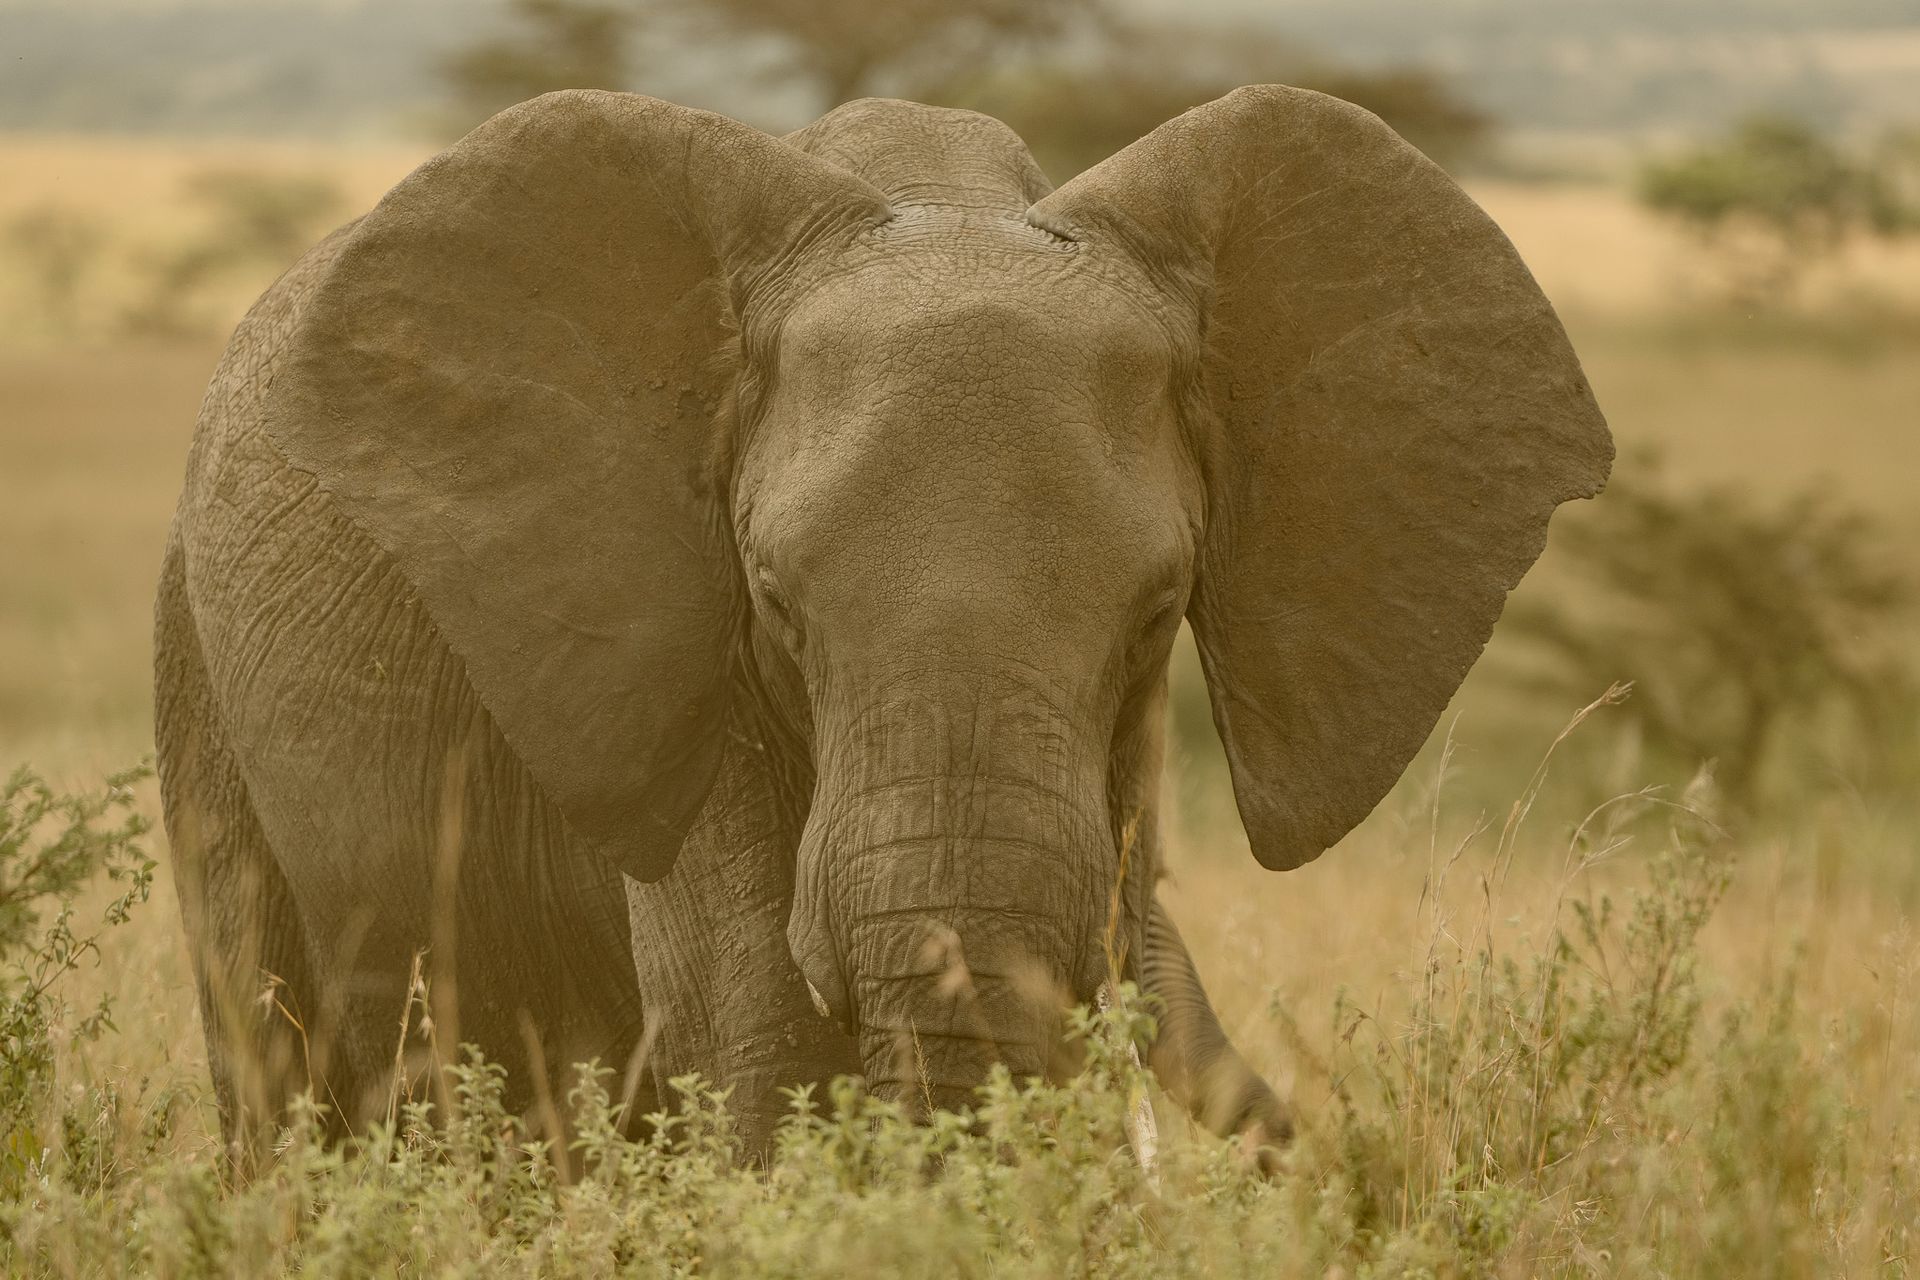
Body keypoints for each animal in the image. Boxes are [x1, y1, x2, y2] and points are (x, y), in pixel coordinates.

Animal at [153, 86, 1610, 1163]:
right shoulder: (674, 659)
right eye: (774, 605)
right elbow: (754, 1036)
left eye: (1159, 612)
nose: (1328, 1153)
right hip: (195, 654)